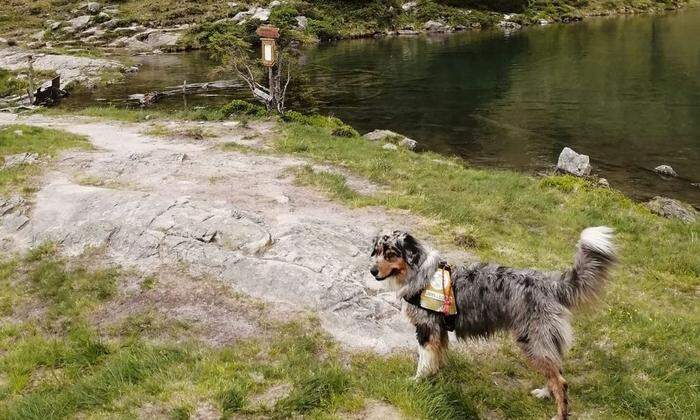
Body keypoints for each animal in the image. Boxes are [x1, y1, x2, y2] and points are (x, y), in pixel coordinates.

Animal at [370, 228, 616, 418]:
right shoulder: (439, 331)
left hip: (532, 341)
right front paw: (436, 376)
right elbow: (437, 358)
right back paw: (544, 393)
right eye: (378, 252)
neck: (420, 273)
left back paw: (559, 414)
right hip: (544, 342)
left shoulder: (426, 329)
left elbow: (424, 361)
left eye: (391, 254)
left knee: (562, 382)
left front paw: (417, 381)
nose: (372, 271)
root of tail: (550, 283)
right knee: (557, 372)